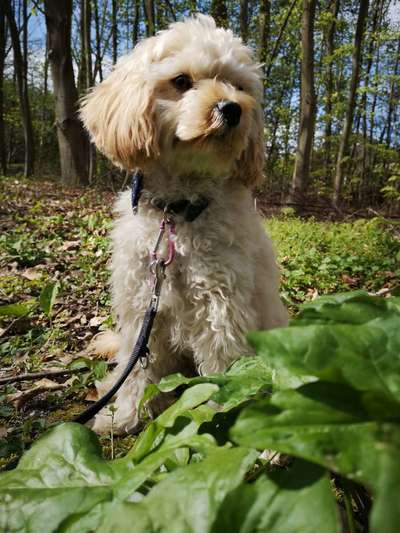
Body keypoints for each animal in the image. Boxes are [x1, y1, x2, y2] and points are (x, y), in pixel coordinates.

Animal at [80, 15, 288, 432]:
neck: (177, 213)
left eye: (240, 87)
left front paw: (215, 420)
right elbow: (138, 370)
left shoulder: (220, 309)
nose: (232, 109)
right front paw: (125, 415)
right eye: (180, 81)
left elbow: (223, 373)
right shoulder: (142, 304)